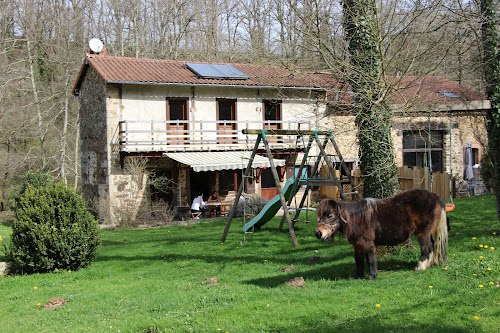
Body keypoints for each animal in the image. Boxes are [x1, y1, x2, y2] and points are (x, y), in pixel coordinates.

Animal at [314, 188, 448, 278]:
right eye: (320, 216)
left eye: (330, 215)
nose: (318, 233)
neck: (357, 218)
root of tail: (434, 196)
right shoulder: (357, 244)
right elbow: (358, 260)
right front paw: (357, 275)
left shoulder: (367, 243)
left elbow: (370, 259)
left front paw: (372, 276)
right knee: (432, 246)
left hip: (423, 232)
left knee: (427, 248)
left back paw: (420, 267)